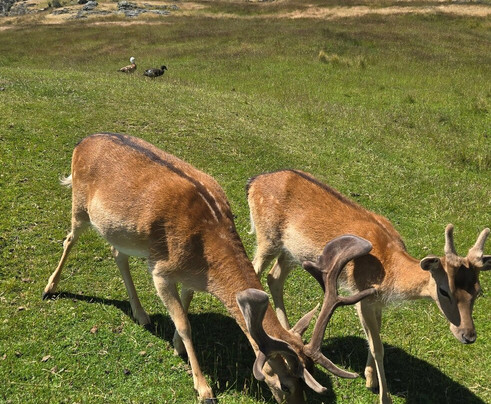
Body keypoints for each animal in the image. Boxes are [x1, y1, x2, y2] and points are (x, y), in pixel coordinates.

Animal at [43, 133, 378, 404]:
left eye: (305, 381)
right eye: (284, 384)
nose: (296, 403)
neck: (206, 259)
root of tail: (82, 141)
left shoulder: (191, 278)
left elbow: (185, 308)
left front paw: (177, 347)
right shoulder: (160, 270)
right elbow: (184, 323)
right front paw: (204, 388)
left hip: (118, 231)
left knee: (116, 253)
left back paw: (141, 314)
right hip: (80, 206)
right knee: (70, 239)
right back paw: (49, 288)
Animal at [246, 169, 490, 404]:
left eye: (478, 292)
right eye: (443, 290)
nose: (469, 336)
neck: (389, 271)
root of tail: (253, 182)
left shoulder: (377, 302)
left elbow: (376, 335)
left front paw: (370, 378)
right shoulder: (361, 294)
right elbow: (377, 345)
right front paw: (384, 396)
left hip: (292, 252)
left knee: (274, 278)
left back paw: (288, 332)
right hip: (268, 237)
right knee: (255, 269)